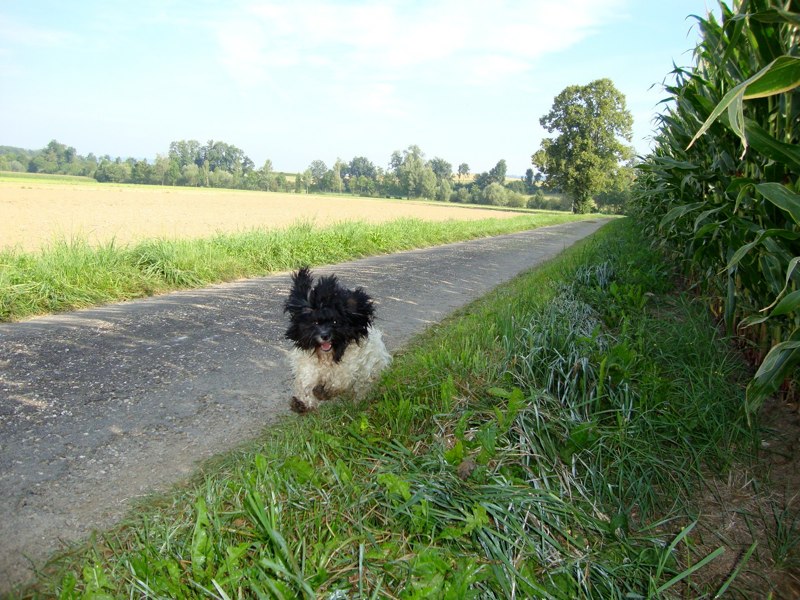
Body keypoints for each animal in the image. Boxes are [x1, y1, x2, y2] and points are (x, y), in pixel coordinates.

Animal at [284, 268, 390, 412]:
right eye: (315, 322)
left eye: (335, 321)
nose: (325, 335)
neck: (327, 357)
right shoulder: (308, 367)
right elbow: (306, 384)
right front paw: (303, 402)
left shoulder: (349, 367)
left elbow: (340, 380)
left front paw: (325, 391)